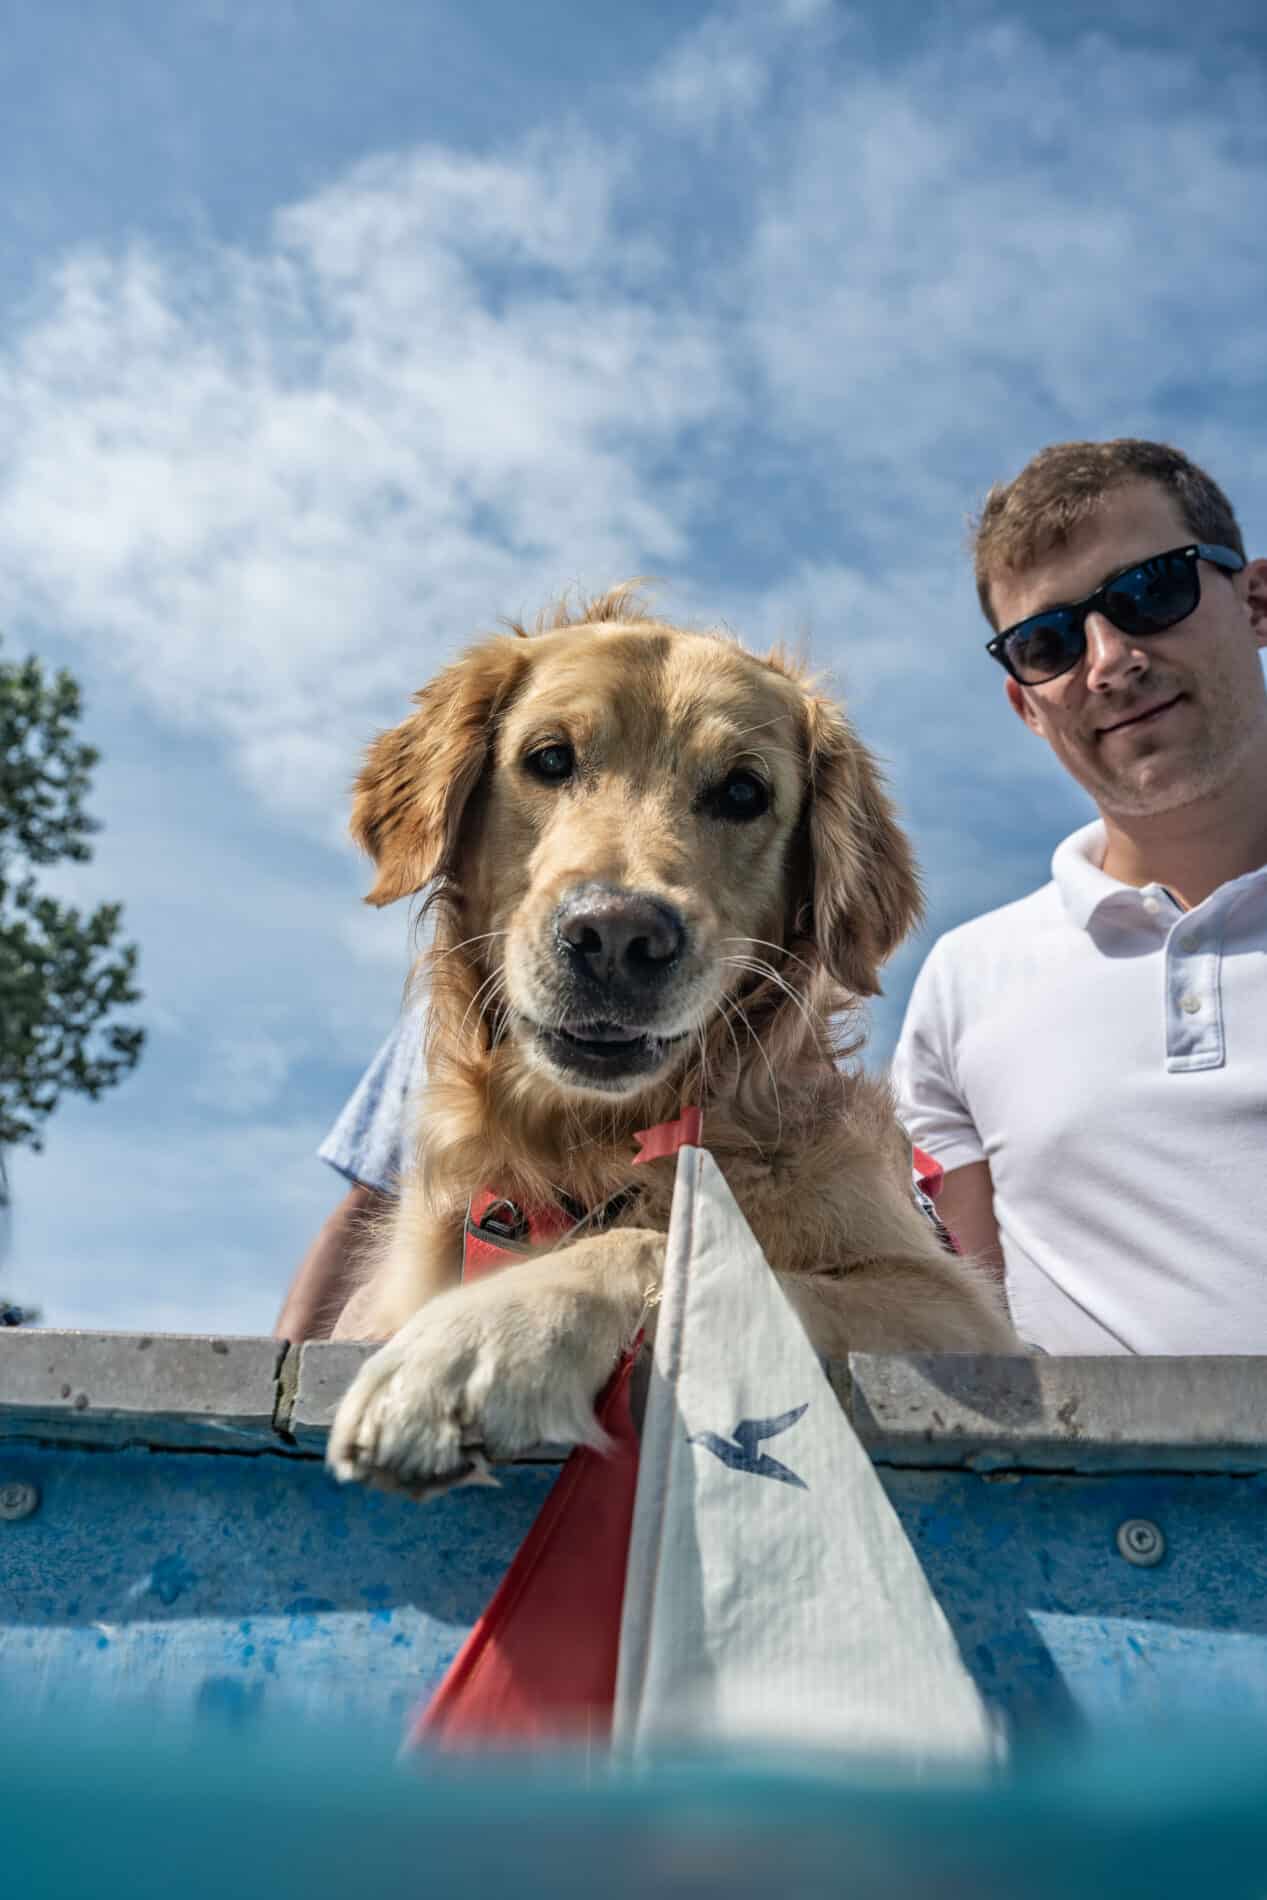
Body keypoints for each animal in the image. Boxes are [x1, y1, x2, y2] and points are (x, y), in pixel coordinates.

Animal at [330, 585, 1018, 1489]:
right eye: (549, 759)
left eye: (743, 792)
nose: (617, 936)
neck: (596, 1149)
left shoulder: (956, 1311)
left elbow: (666, 1246)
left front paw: (479, 1342)